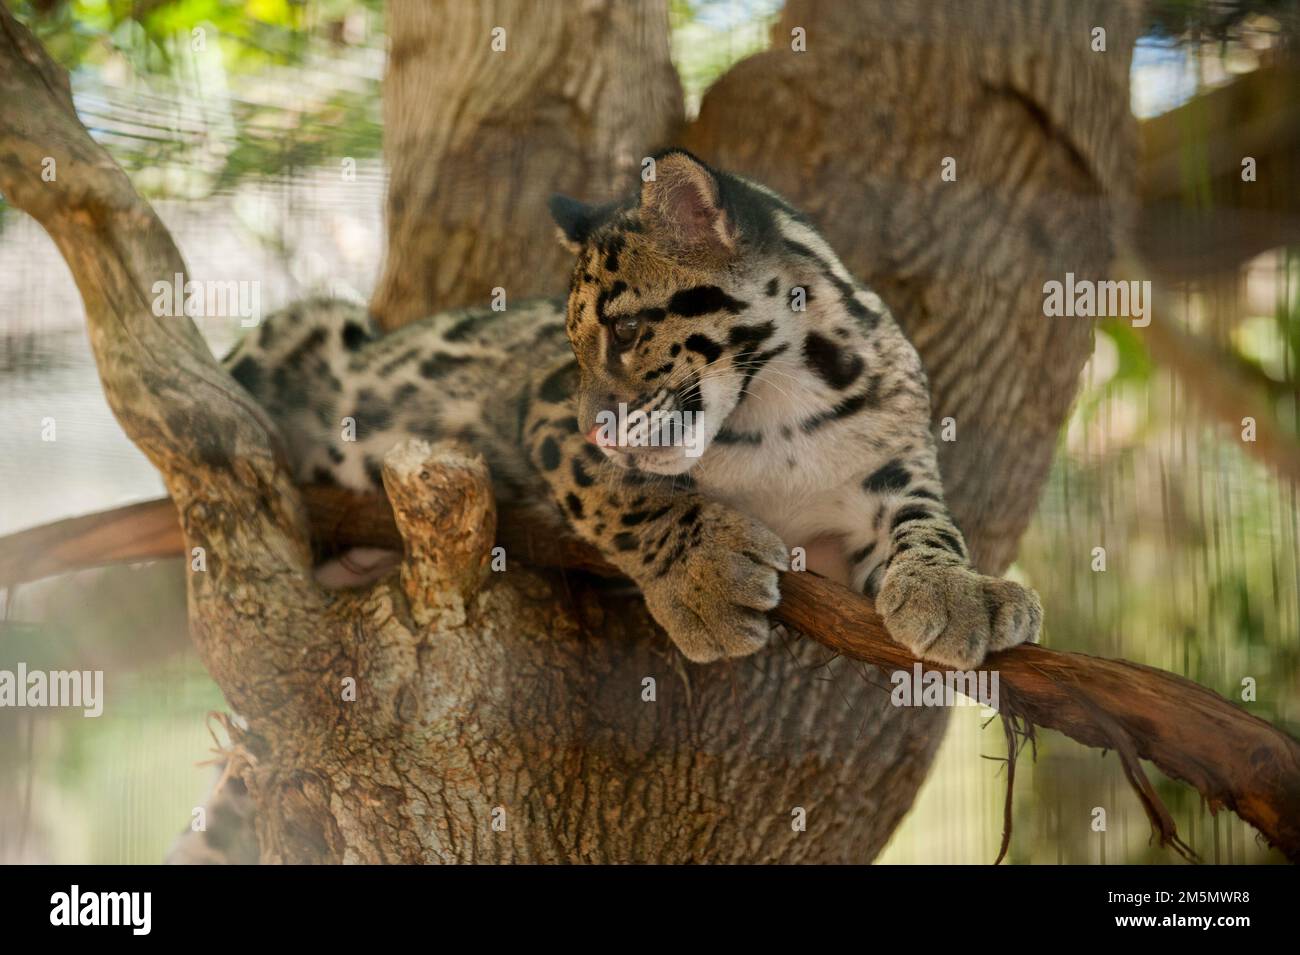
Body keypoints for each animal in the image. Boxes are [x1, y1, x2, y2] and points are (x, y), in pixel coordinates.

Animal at [221, 149, 1041, 668]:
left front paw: (961, 589)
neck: (782, 398)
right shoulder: (543, 409)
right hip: (304, 328)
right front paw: (703, 574)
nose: (596, 424)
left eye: (624, 329)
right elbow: (620, 493)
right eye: (572, 346)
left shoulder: (892, 459)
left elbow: (925, 520)